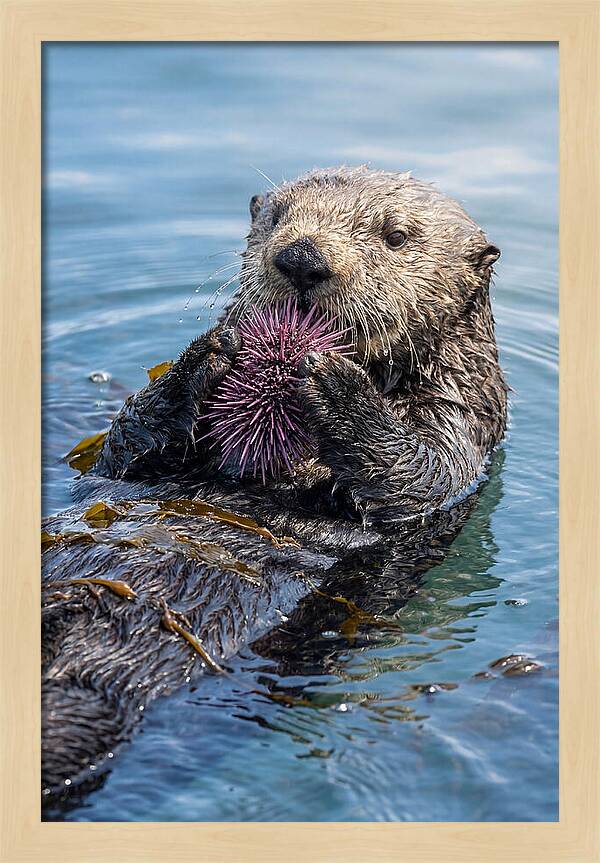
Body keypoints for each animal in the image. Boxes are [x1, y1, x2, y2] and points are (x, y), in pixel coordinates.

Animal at [41, 166, 507, 805]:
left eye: (395, 235)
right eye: (277, 217)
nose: (302, 258)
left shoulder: (462, 422)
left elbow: (419, 477)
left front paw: (335, 384)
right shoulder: (130, 462)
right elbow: (123, 447)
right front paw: (208, 354)